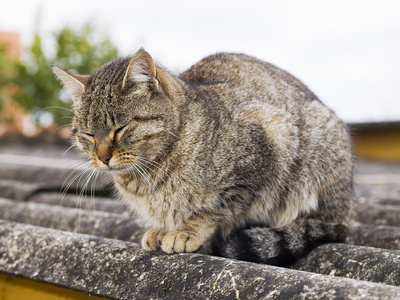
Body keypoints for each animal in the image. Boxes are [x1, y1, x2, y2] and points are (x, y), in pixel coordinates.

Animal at [52, 48, 354, 264]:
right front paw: (163, 229)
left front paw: (187, 231)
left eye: (121, 128)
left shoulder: (267, 145)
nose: (102, 157)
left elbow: (216, 207)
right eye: (88, 134)